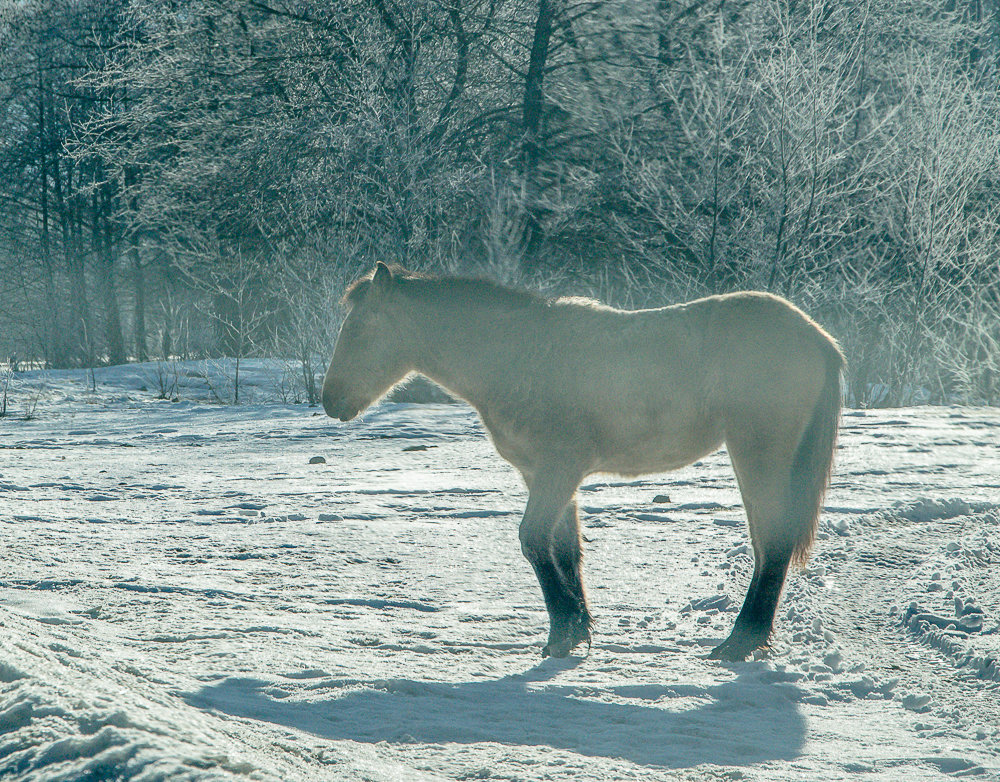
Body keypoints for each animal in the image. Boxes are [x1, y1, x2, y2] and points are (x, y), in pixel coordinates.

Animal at [322, 264, 844, 660]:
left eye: (361, 329)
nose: (330, 401)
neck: (519, 355)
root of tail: (817, 336)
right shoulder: (544, 476)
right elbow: (564, 551)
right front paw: (573, 628)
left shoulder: (559, 470)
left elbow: (532, 541)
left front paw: (563, 632)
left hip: (758, 453)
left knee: (772, 542)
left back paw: (740, 642)